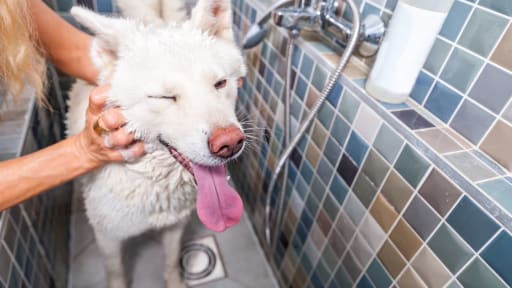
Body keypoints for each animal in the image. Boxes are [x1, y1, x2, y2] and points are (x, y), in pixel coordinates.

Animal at [66, 1, 248, 286]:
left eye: (220, 83)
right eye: (165, 97)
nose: (229, 143)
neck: (150, 182)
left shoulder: (175, 226)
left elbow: (171, 262)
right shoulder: (107, 237)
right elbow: (115, 272)